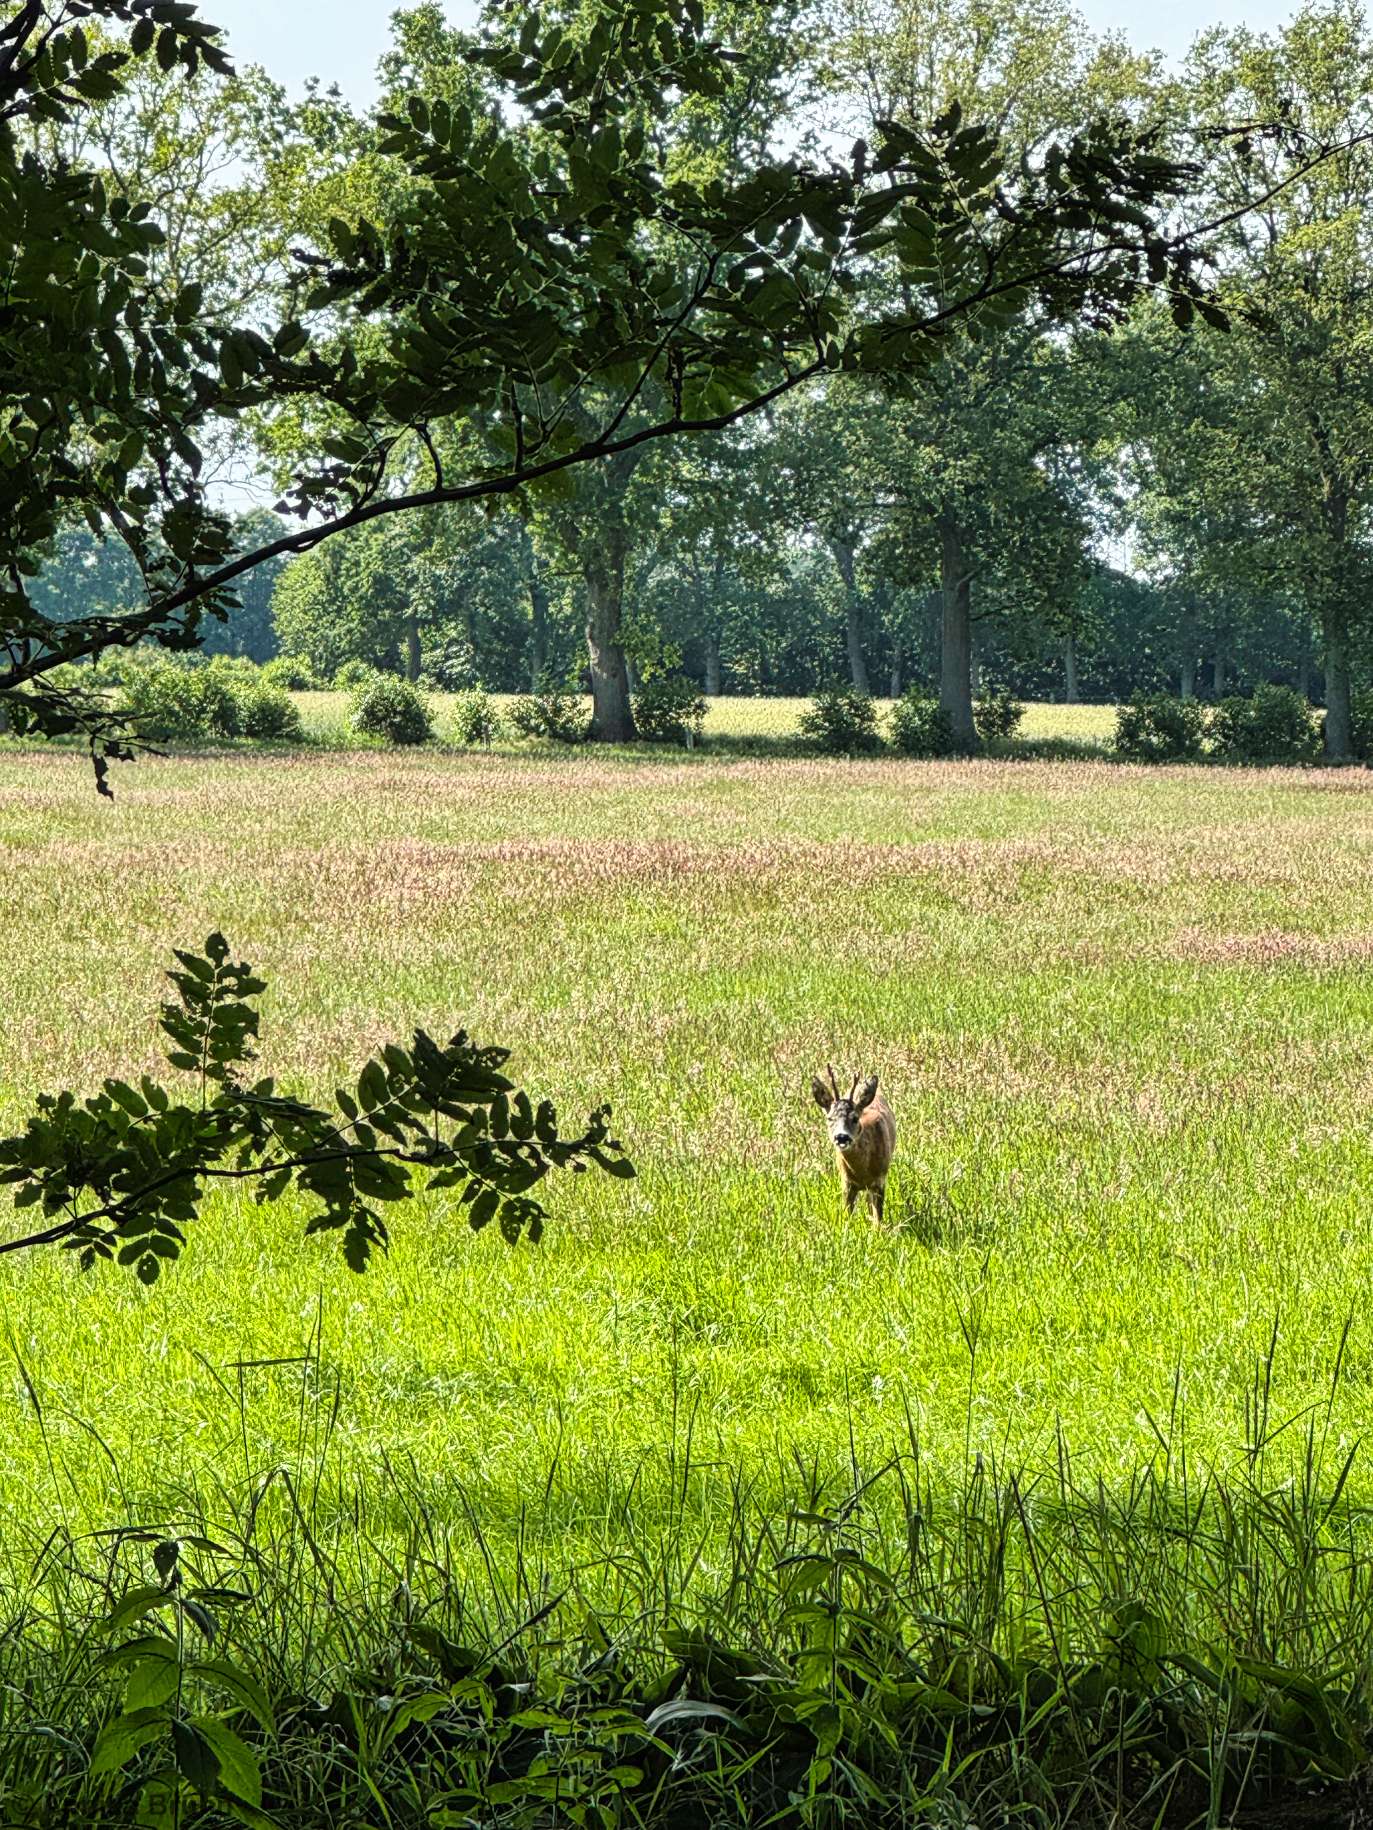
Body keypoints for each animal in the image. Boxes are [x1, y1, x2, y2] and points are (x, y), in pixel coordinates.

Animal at [810, 1065, 896, 1223]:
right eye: (829, 1118)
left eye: (855, 1118)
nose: (841, 1137)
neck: (862, 1172)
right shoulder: (846, 1182)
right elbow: (847, 1217)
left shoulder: (880, 1179)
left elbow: (878, 1220)